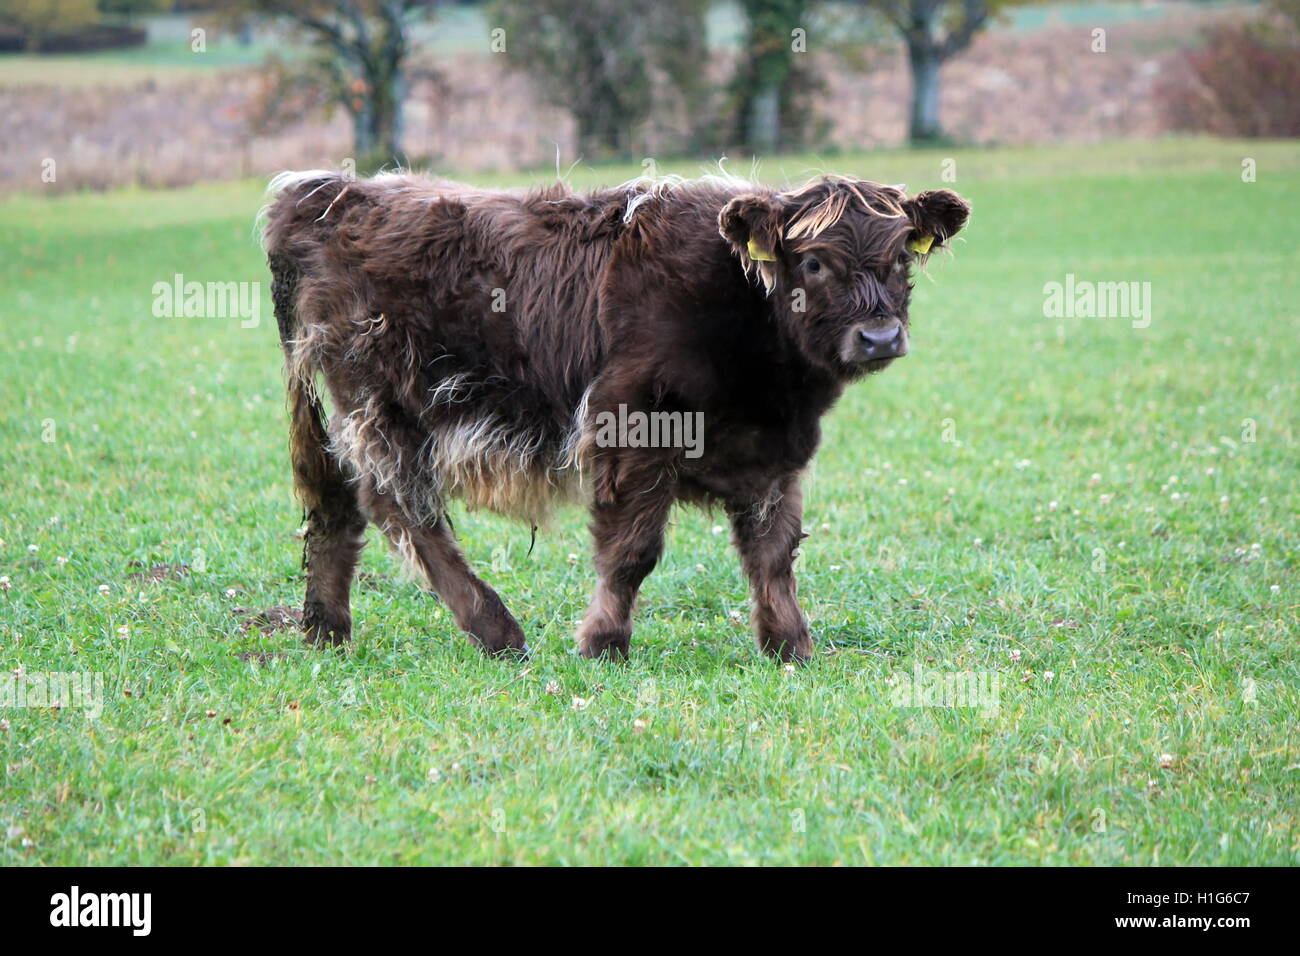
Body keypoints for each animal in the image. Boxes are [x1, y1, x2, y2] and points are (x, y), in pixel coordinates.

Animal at [262, 169, 970, 662]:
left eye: (901, 257)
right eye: (815, 261)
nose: (879, 337)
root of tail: (336, 192)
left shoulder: (779, 455)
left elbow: (773, 552)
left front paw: (788, 644)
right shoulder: (630, 428)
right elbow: (632, 550)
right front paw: (604, 642)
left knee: (339, 505)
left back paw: (327, 629)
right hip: (382, 406)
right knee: (400, 507)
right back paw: (497, 630)